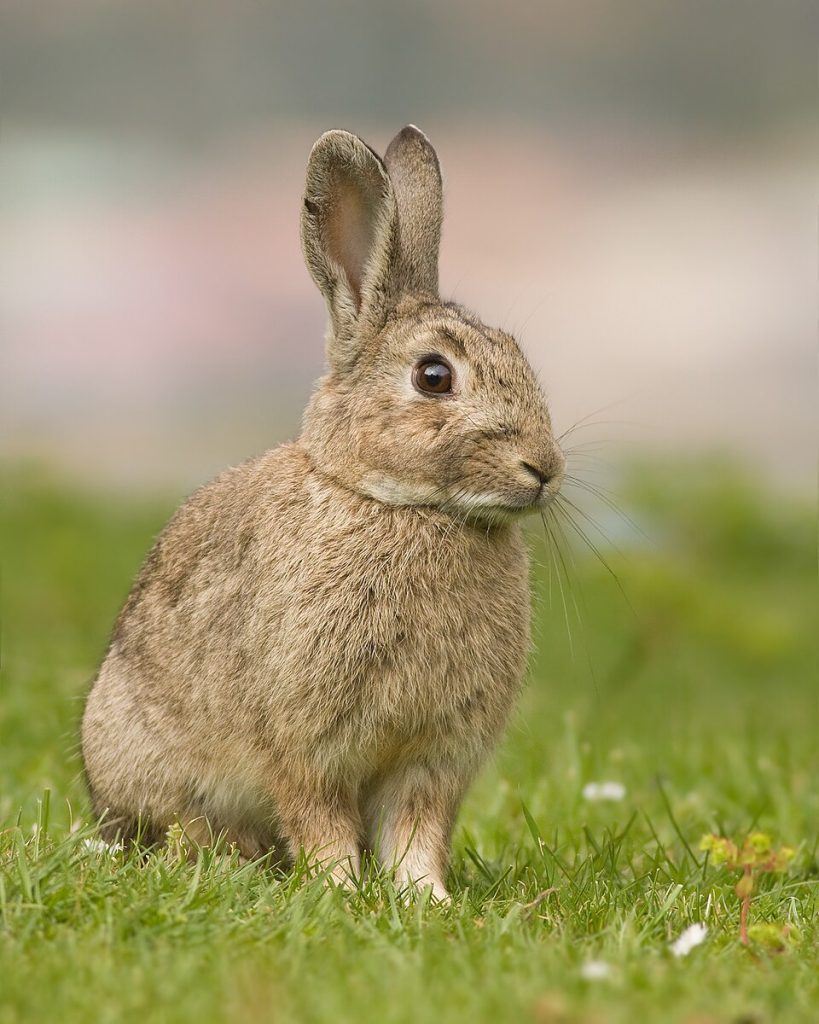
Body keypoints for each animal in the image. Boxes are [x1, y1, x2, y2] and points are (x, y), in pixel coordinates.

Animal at [81, 125, 565, 900]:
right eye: (434, 376)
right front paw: (339, 890)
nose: (543, 469)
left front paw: (425, 899)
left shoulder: (433, 759)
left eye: (518, 354)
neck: (402, 506)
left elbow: (416, 831)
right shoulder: (306, 746)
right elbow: (320, 819)